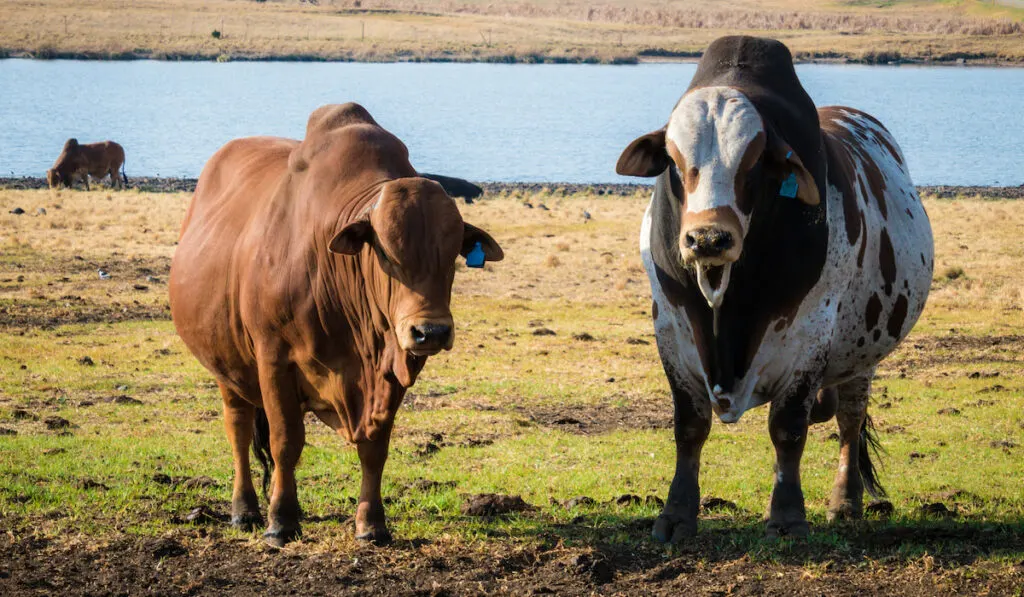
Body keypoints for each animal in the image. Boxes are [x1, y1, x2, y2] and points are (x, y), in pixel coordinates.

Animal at [171, 101, 503, 544]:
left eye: (453, 255)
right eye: (387, 253)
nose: (429, 331)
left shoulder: (389, 370)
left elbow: (375, 449)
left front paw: (372, 524)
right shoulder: (273, 358)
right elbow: (285, 441)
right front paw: (281, 520)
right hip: (227, 363)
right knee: (238, 428)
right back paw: (244, 510)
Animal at [614, 36, 937, 540]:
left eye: (754, 161)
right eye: (674, 159)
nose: (709, 239)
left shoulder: (811, 335)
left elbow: (788, 428)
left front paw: (786, 517)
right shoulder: (670, 329)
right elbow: (689, 426)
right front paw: (676, 515)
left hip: (862, 350)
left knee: (849, 418)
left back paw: (845, 501)